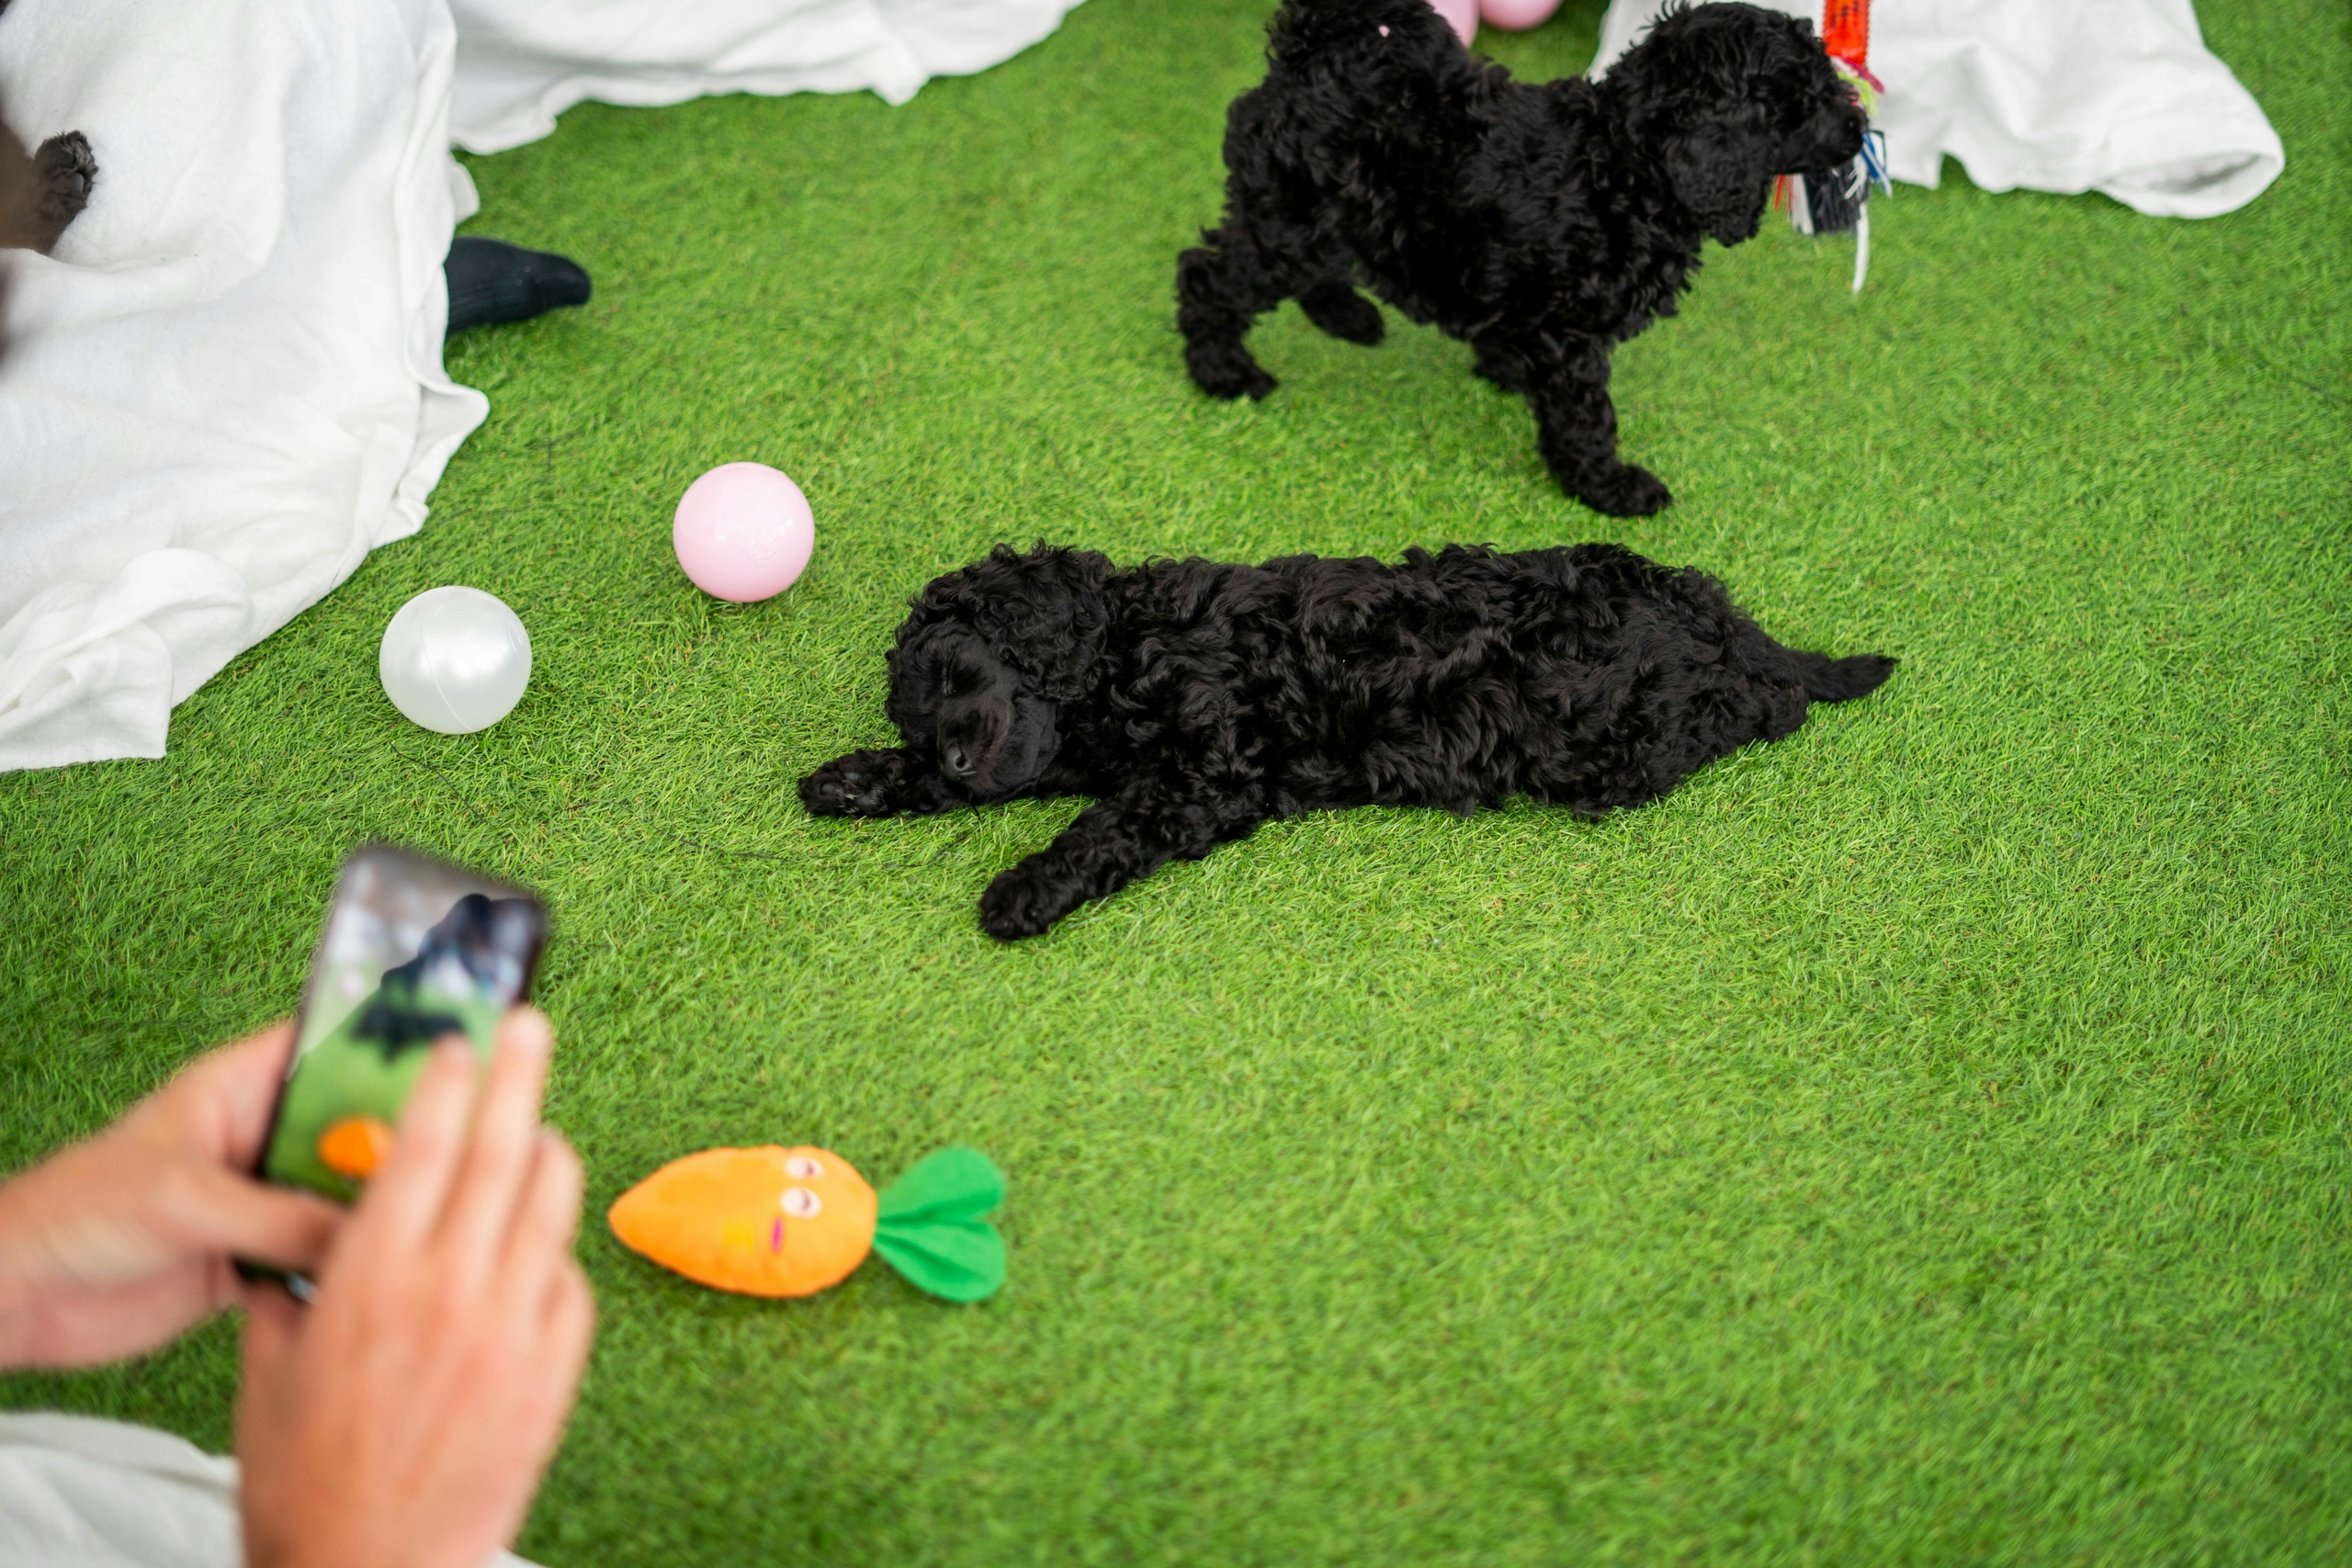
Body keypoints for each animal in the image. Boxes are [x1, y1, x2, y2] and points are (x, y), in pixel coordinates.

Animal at [804, 545, 1891, 940]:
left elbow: (1100, 828)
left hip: (1628, 729)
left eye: (958, 672)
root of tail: (1720, 622)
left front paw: (1021, 891)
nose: (954, 757)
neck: (1120, 649)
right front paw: (856, 780)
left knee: (1772, 702)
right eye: (916, 713)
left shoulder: (1208, 768)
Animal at [1185, 0, 1862, 517]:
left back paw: (1348, 317)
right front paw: (1610, 488)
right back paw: (1224, 371)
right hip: (1290, 218)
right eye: (1808, 102)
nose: (1859, 128)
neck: (1624, 166)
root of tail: (1311, 52)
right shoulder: (1571, 332)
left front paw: (1507, 367)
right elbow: (1588, 417)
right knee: (1211, 275)